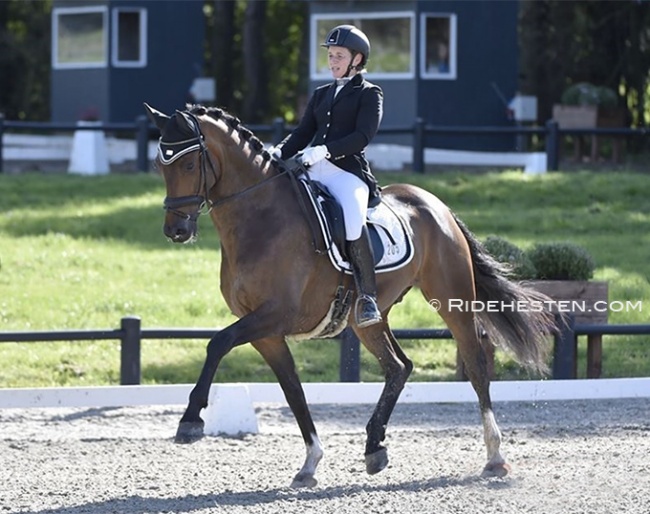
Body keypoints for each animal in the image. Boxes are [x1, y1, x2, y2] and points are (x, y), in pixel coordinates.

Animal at [144, 102, 556, 486]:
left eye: (188, 164)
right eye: (160, 166)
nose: (175, 231)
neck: (260, 220)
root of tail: (435, 204)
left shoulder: (276, 314)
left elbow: (217, 343)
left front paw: (190, 421)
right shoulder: (266, 332)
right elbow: (292, 389)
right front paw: (310, 463)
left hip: (452, 299)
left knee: (475, 365)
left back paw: (495, 456)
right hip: (366, 319)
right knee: (399, 367)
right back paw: (374, 448)